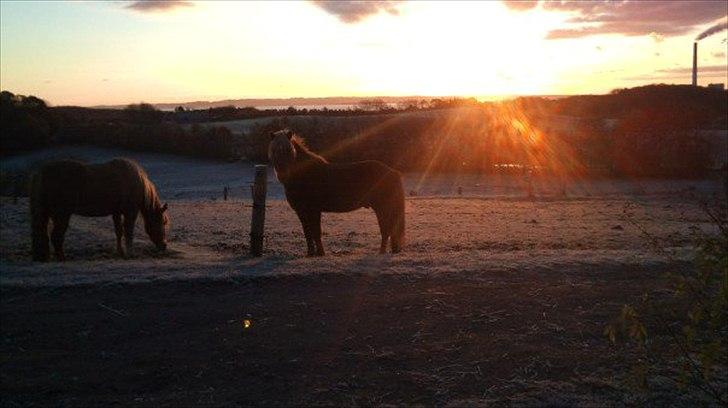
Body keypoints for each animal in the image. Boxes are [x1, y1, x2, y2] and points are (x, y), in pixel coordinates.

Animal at [30, 158, 169, 262]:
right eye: (163, 222)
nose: (164, 246)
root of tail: (40, 174)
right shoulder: (130, 213)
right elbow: (128, 232)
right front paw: (130, 253)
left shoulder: (116, 212)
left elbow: (119, 232)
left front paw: (120, 252)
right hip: (62, 215)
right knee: (56, 236)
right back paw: (62, 258)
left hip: (51, 215)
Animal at [268, 128, 404, 255]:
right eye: (273, 151)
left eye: (289, 150)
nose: (283, 175)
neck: (305, 175)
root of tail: (393, 172)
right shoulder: (301, 211)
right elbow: (307, 233)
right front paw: (310, 253)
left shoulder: (314, 210)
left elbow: (316, 232)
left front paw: (320, 253)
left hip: (382, 208)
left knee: (386, 229)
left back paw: (381, 252)